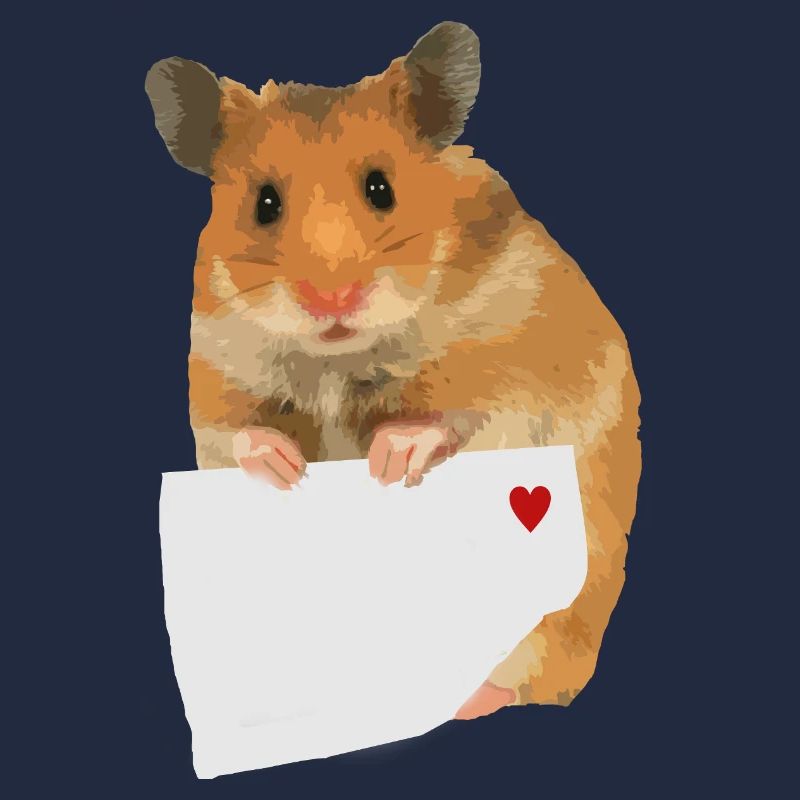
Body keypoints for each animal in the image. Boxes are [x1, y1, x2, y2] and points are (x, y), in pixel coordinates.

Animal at [145, 21, 641, 718]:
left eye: (382, 188)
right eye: (264, 203)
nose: (331, 300)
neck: (340, 357)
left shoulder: (522, 366)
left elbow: (462, 416)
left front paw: (387, 457)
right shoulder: (214, 371)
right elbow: (238, 434)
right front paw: (287, 468)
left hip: (568, 612)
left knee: (538, 677)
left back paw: (467, 700)